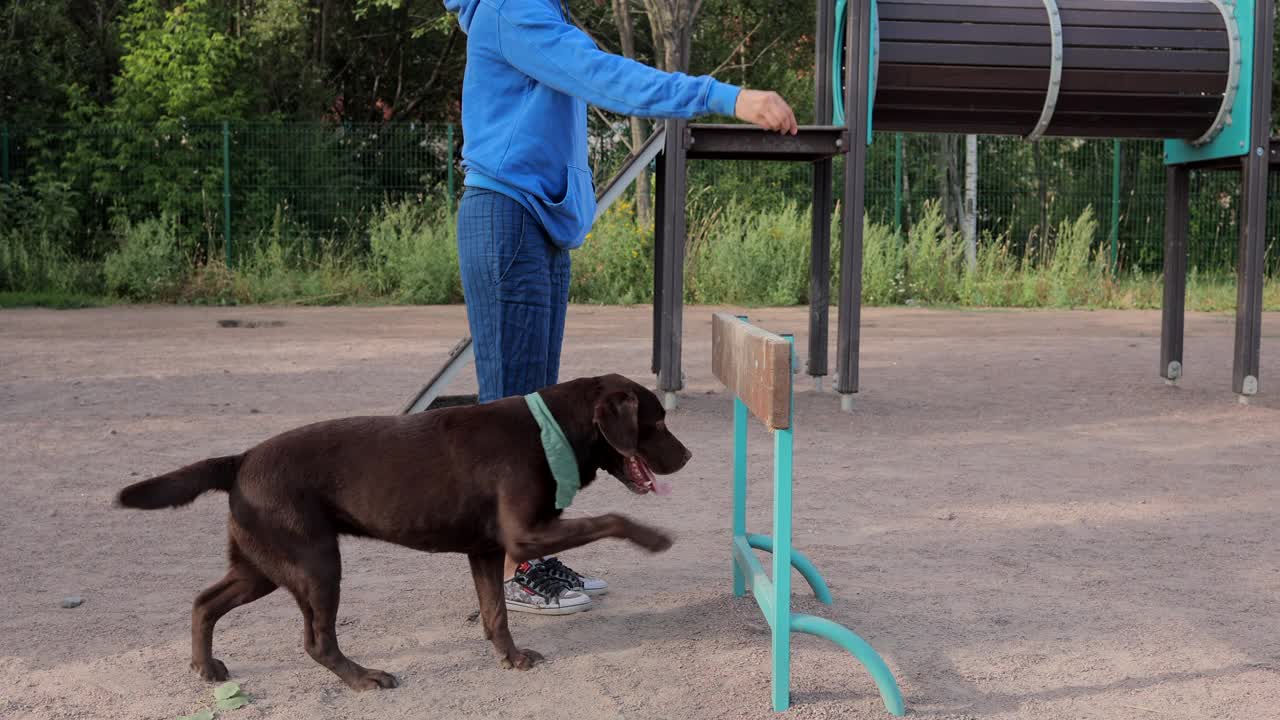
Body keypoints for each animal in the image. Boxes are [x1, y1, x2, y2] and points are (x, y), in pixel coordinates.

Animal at [115, 371, 691, 686]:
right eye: (658, 422)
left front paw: (509, 657)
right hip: (317, 564)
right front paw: (654, 538)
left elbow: (495, 615)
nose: (687, 457)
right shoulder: (525, 535)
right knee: (317, 641)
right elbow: (611, 519)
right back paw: (364, 679)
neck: (549, 429)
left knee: (204, 602)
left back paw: (204, 666)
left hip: (264, 566)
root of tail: (240, 460)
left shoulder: (485, 551)